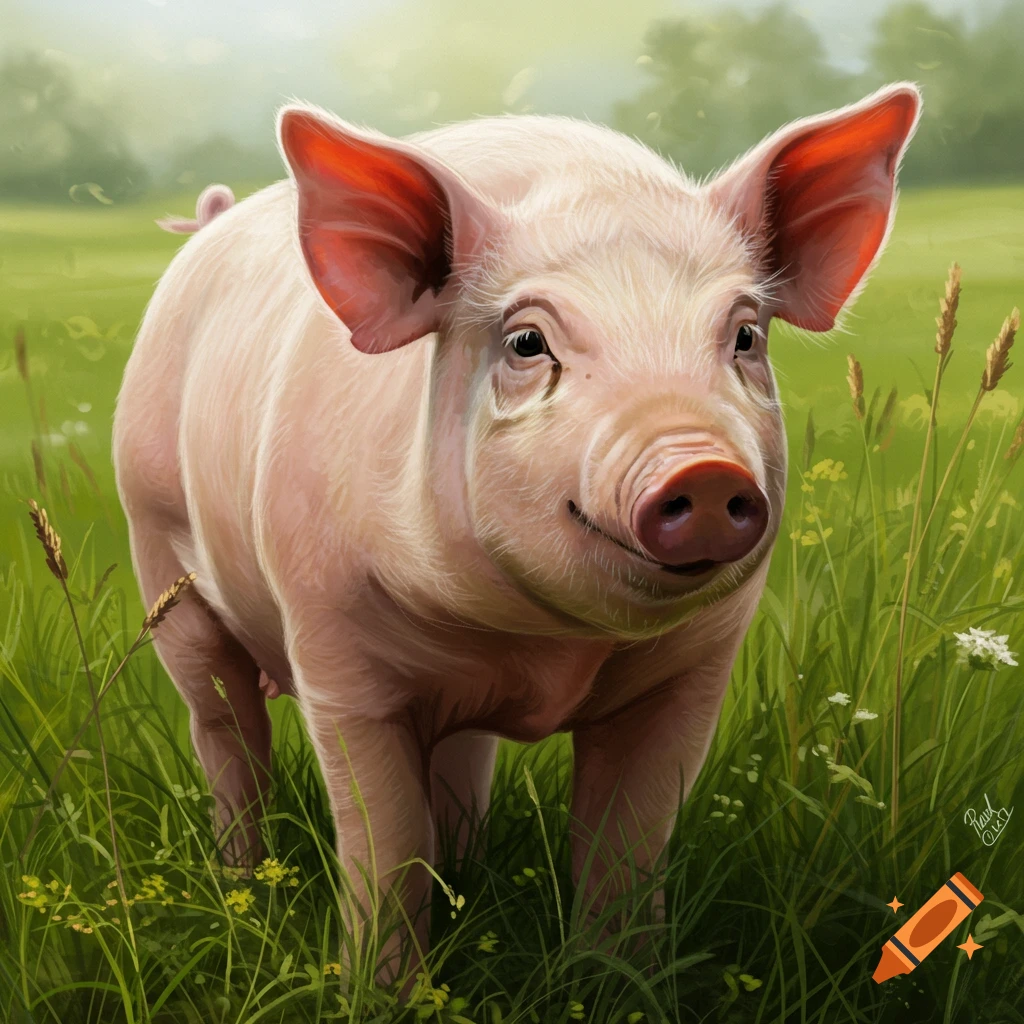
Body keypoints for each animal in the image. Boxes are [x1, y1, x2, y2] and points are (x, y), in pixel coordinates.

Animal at [113, 83, 921, 975]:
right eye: (528, 341)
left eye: (743, 335)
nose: (703, 470)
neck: (540, 648)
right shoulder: (335, 654)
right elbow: (385, 848)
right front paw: (378, 989)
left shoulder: (694, 671)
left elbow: (626, 847)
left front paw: (619, 981)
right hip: (159, 550)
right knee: (224, 731)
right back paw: (243, 886)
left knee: (459, 760)